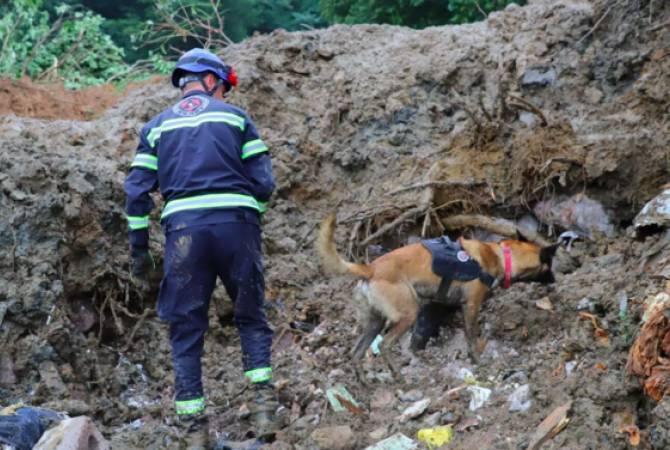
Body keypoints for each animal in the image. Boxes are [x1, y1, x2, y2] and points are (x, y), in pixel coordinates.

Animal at [318, 214, 560, 372]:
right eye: (549, 265)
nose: (555, 280)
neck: (501, 256)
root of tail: (370, 269)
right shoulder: (471, 305)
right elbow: (471, 337)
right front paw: (477, 361)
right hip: (407, 314)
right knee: (385, 345)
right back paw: (397, 376)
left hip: (374, 323)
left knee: (356, 353)